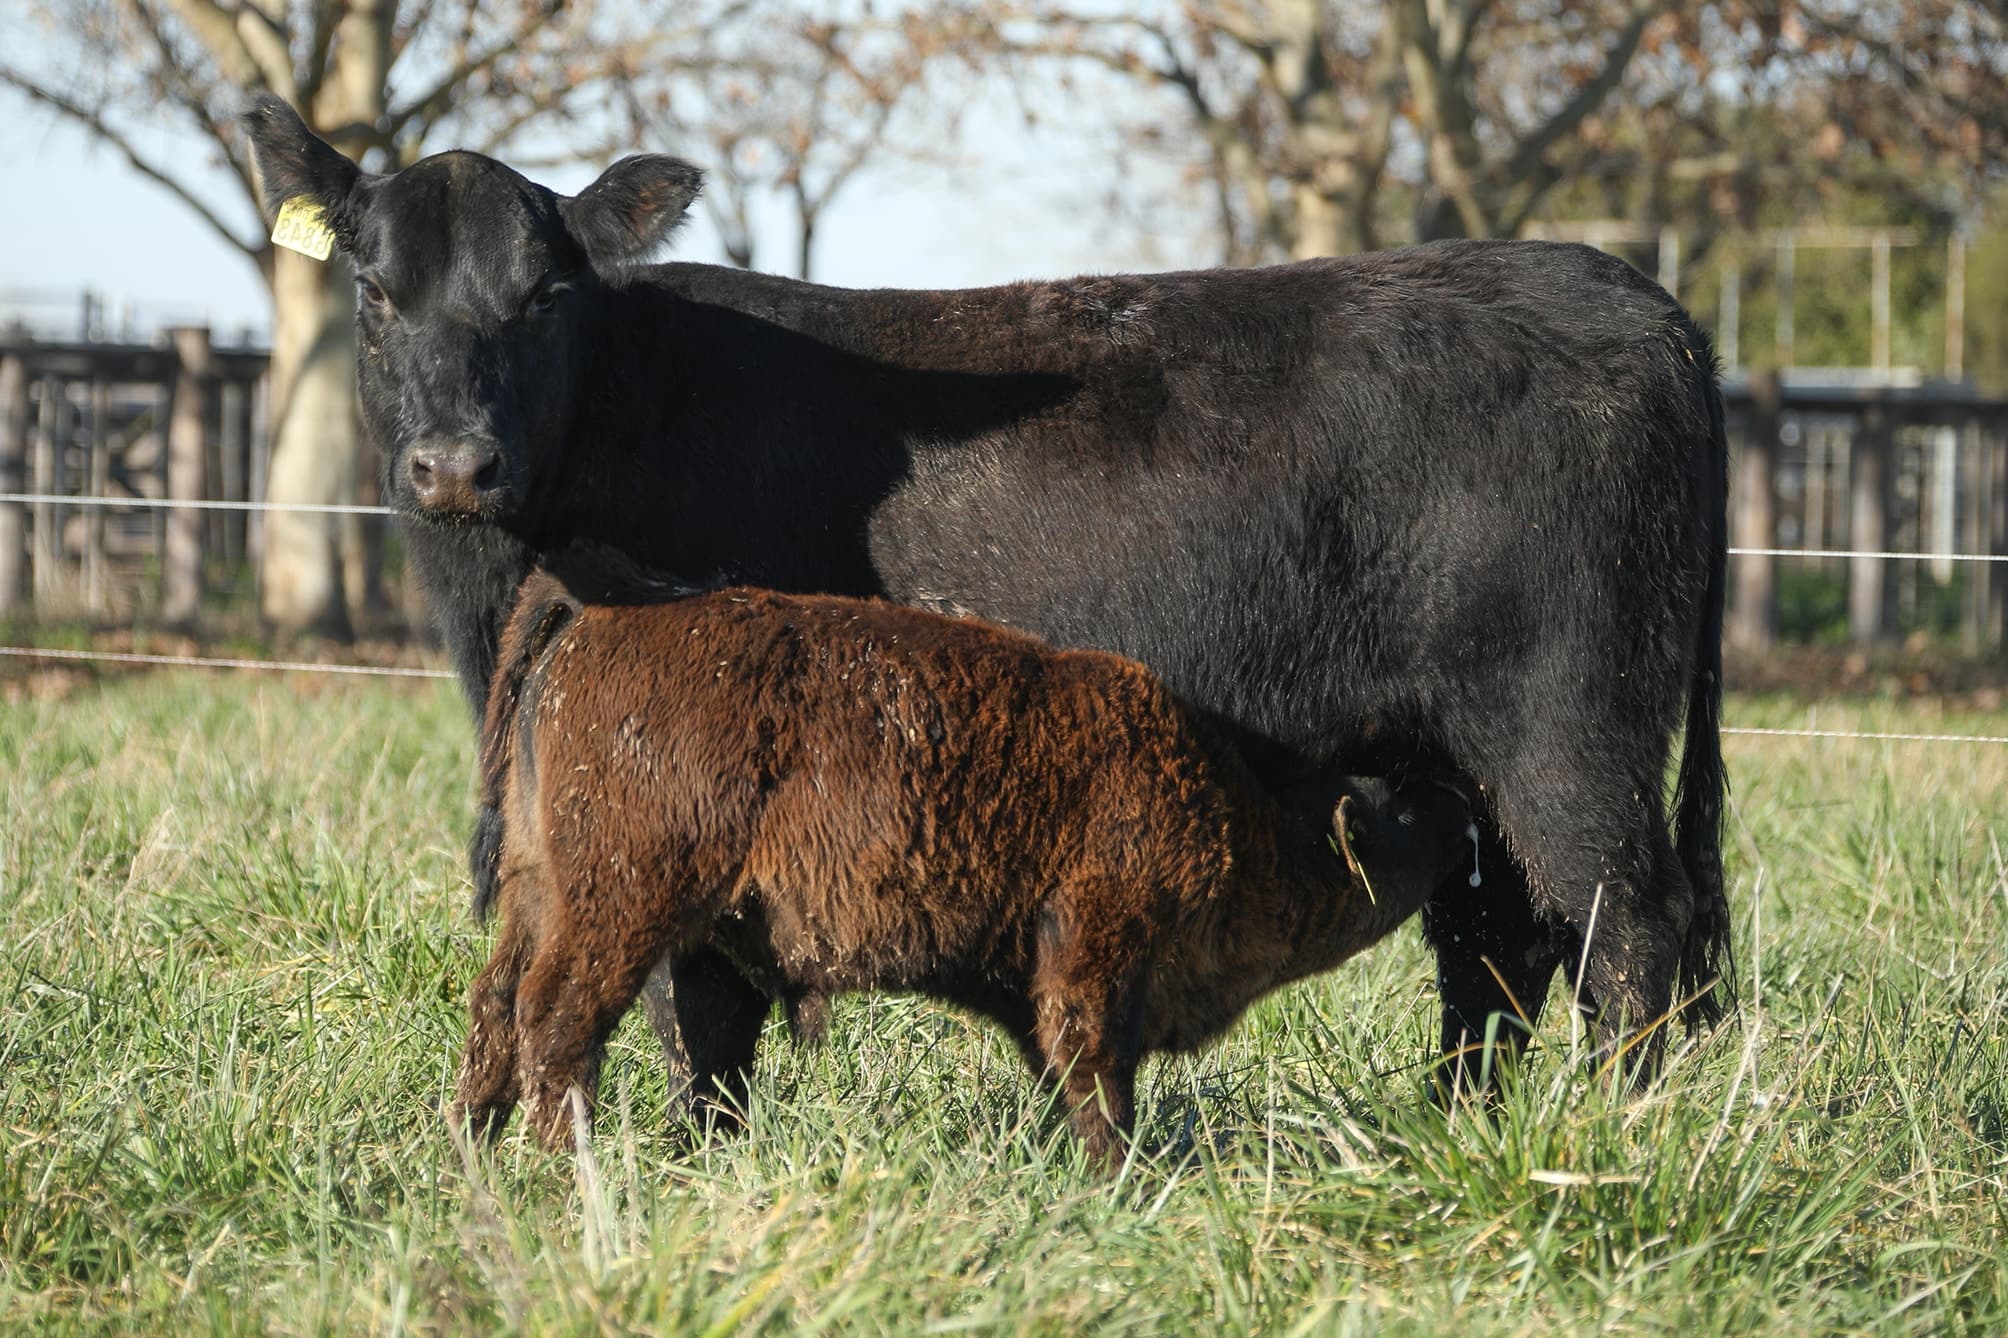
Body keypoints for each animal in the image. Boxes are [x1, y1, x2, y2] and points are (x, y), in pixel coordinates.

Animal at [453, 551, 1473, 1164]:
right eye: (1395, 819)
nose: (1458, 805)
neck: (1230, 802)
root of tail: (591, 611)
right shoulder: (1094, 951)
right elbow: (1097, 1074)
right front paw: (1119, 1176)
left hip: (542, 893)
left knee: (497, 1005)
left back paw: (475, 1152)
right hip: (623, 906)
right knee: (557, 1017)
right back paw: (570, 1171)